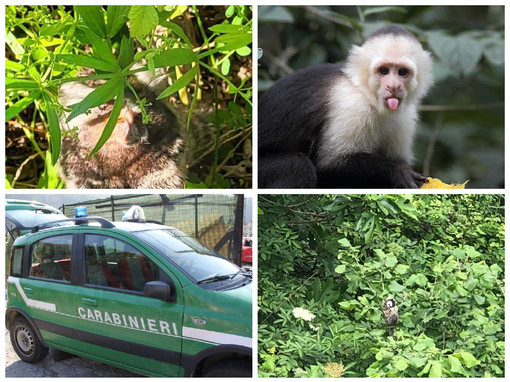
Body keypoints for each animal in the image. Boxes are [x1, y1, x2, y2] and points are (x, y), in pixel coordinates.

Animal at [258, 24, 434, 189]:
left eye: (402, 72)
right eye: (384, 70)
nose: (393, 87)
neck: (368, 95)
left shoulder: (406, 116)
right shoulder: (353, 105)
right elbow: (329, 163)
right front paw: (397, 170)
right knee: (295, 166)